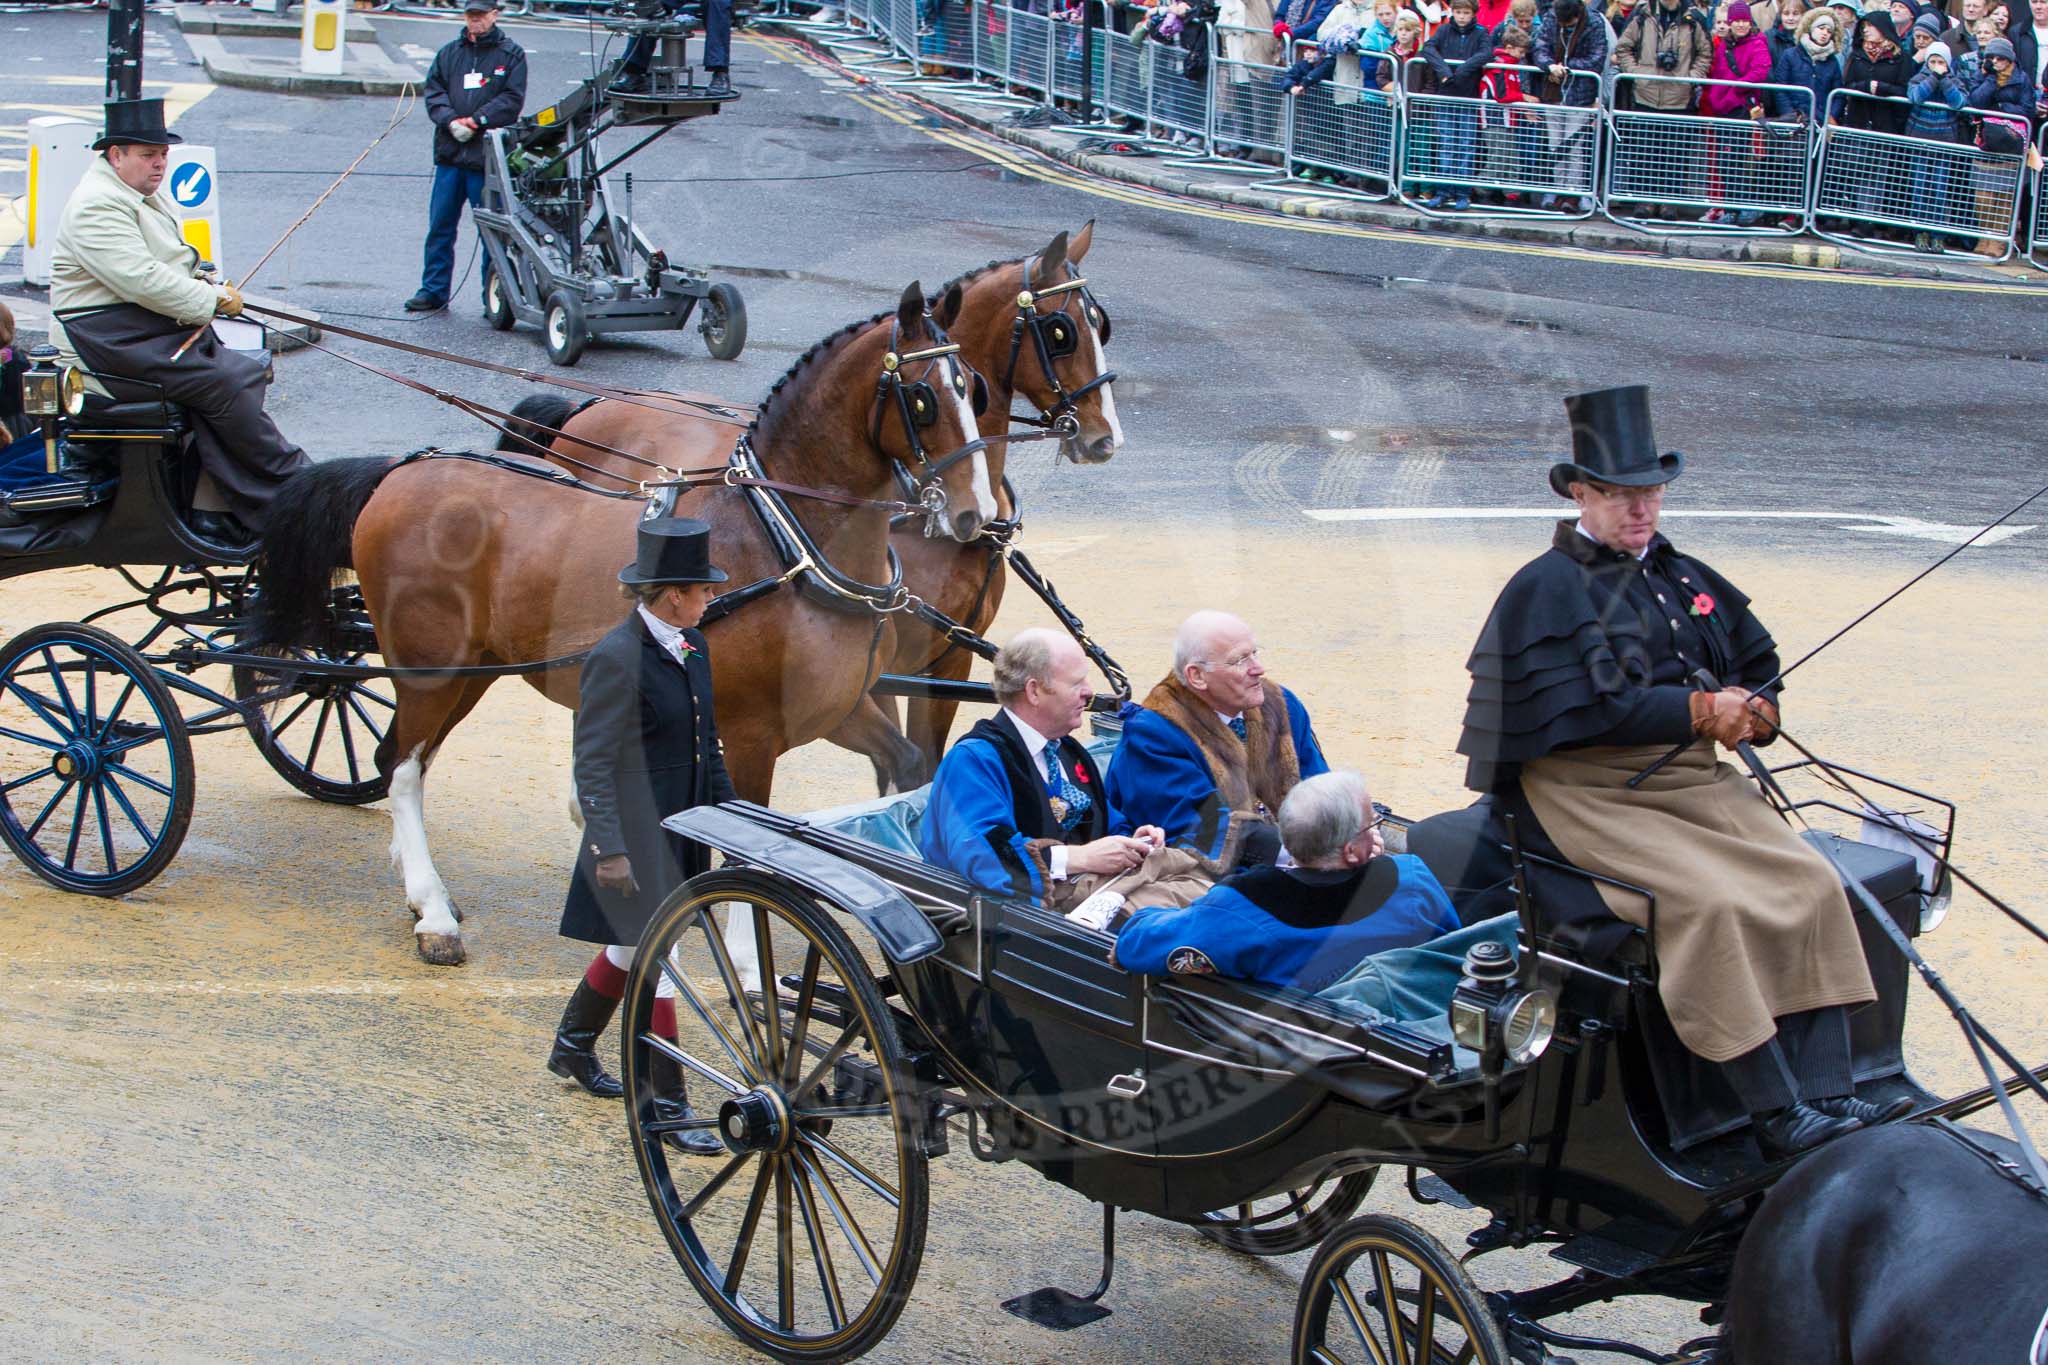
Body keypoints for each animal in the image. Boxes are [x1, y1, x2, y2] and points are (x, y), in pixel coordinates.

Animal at [247, 282, 991, 965]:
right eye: (923, 398)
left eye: (973, 388)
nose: (975, 514)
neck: (783, 542)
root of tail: (398, 469)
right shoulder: (752, 734)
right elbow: (746, 845)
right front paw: (750, 966)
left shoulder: (840, 706)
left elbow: (904, 764)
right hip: (430, 669)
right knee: (401, 768)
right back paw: (432, 911)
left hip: (474, 671)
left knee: (403, 758)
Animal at [505, 223, 1130, 794]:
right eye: (1061, 330)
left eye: (1101, 324)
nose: (1104, 438)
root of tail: (588, 406)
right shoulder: (879, 674)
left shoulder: (940, 664)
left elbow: (923, 767)